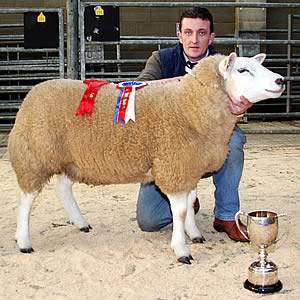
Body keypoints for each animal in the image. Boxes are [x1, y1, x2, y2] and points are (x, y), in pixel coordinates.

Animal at [7, 52, 284, 264]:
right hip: (34, 156)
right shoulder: (174, 165)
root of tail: (33, 92)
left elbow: (190, 203)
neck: (190, 105)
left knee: (63, 187)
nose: (280, 80)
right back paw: (24, 241)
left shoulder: (188, 166)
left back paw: (80, 222)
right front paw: (181, 249)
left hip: (71, 158)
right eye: (243, 69)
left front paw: (194, 233)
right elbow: (180, 210)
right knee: (26, 200)